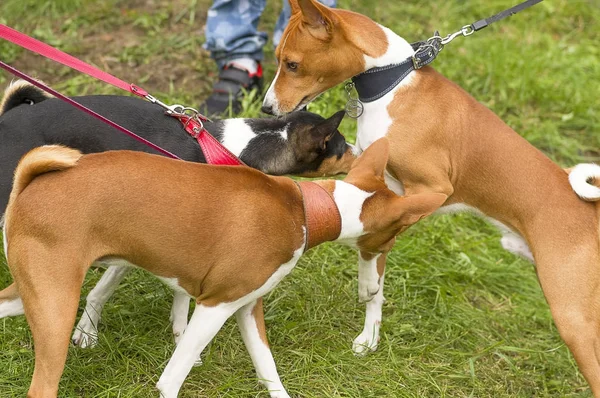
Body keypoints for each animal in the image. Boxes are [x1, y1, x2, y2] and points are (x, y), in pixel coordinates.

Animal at [0, 81, 356, 348]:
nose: (360, 148)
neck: (229, 148)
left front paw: (87, 329)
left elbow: (107, 287)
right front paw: (181, 334)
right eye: (339, 146)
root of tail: (10, 116)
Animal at [1, 138, 446, 398]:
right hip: (57, 310)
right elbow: (172, 379)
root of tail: (30, 185)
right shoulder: (215, 305)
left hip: (32, 296)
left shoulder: (246, 308)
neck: (304, 211)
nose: (373, 290)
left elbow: (269, 372)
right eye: (392, 240)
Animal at [262, 0, 600, 394]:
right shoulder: (378, 179)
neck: (393, 84)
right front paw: (370, 331)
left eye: (292, 64)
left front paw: (367, 282)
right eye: (279, 59)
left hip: (574, 318)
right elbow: (377, 270)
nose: (267, 108)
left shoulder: (432, 190)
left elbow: (377, 241)